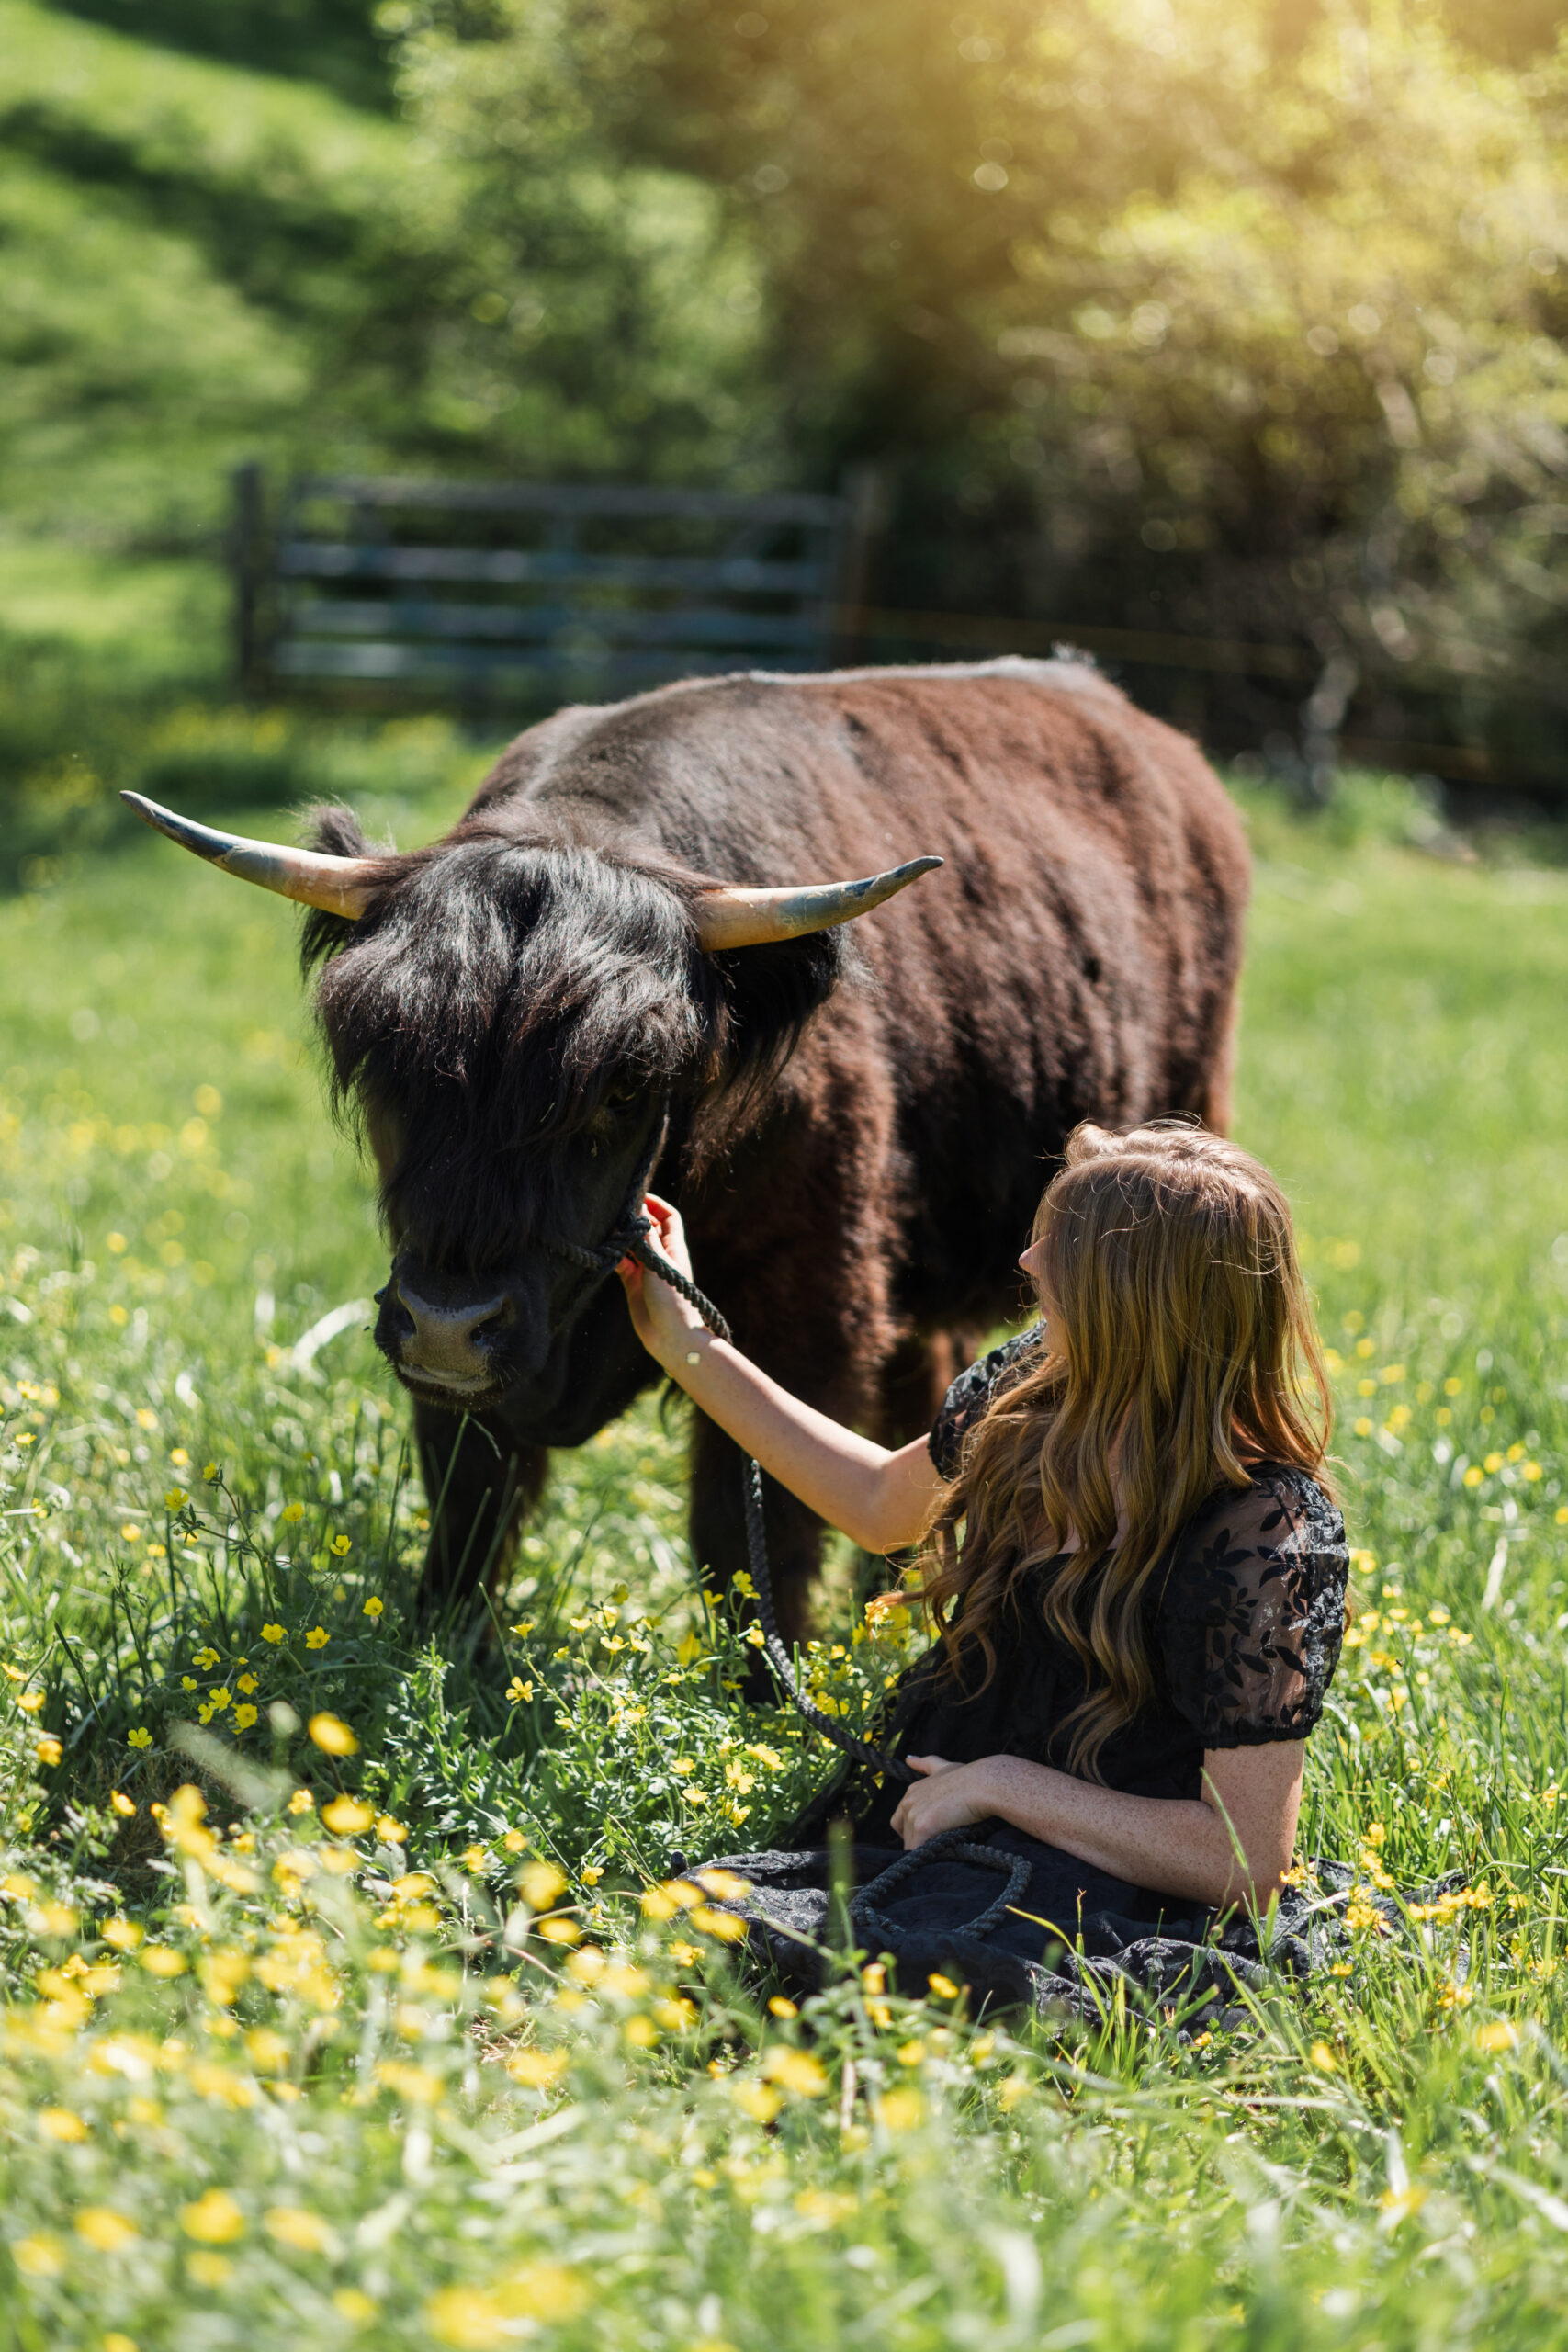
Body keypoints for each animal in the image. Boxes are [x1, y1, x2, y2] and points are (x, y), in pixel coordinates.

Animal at [125, 655, 1249, 1641]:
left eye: (625, 1086)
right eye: (390, 1065)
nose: (453, 1326)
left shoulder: (805, 1306)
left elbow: (751, 1530)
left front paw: (762, 1700)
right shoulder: (436, 1319)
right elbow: (470, 1499)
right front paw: (445, 1658)